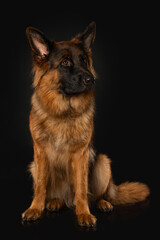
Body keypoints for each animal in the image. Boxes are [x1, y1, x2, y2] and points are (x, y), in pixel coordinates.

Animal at [21, 22, 150, 227]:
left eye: (84, 61)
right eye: (65, 62)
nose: (91, 79)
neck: (64, 113)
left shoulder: (81, 154)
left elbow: (81, 188)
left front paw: (84, 214)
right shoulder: (40, 153)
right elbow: (40, 186)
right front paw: (35, 209)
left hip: (103, 163)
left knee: (94, 195)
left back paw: (102, 203)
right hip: (34, 166)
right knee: (55, 194)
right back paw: (55, 202)